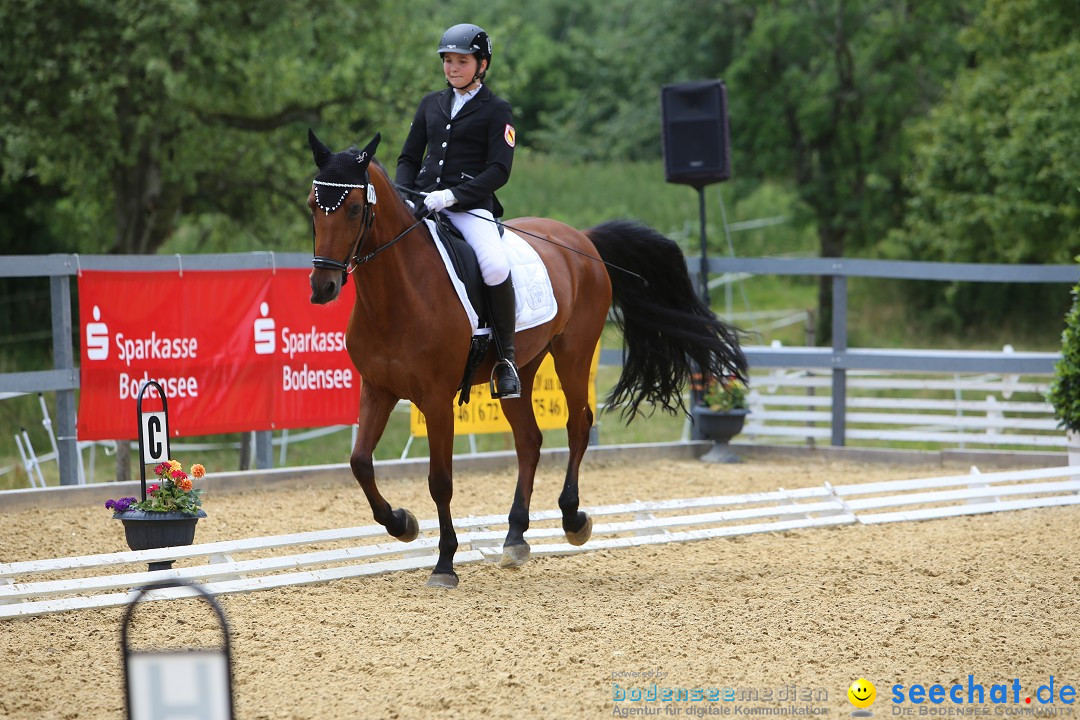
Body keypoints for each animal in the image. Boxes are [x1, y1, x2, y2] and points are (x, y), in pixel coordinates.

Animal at [304, 132, 743, 587]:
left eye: (355, 208)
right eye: (313, 206)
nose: (323, 287)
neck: (397, 294)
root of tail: (581, 238)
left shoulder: (437, 400)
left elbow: (440, 481)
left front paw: (445, 563)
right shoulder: (378, 389)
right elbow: (359, 463)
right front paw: (401, 523)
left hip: (574, 353)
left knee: (577, 425)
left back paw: (572, 519)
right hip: (521, 368)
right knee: (529, 440)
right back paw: (515, 536)